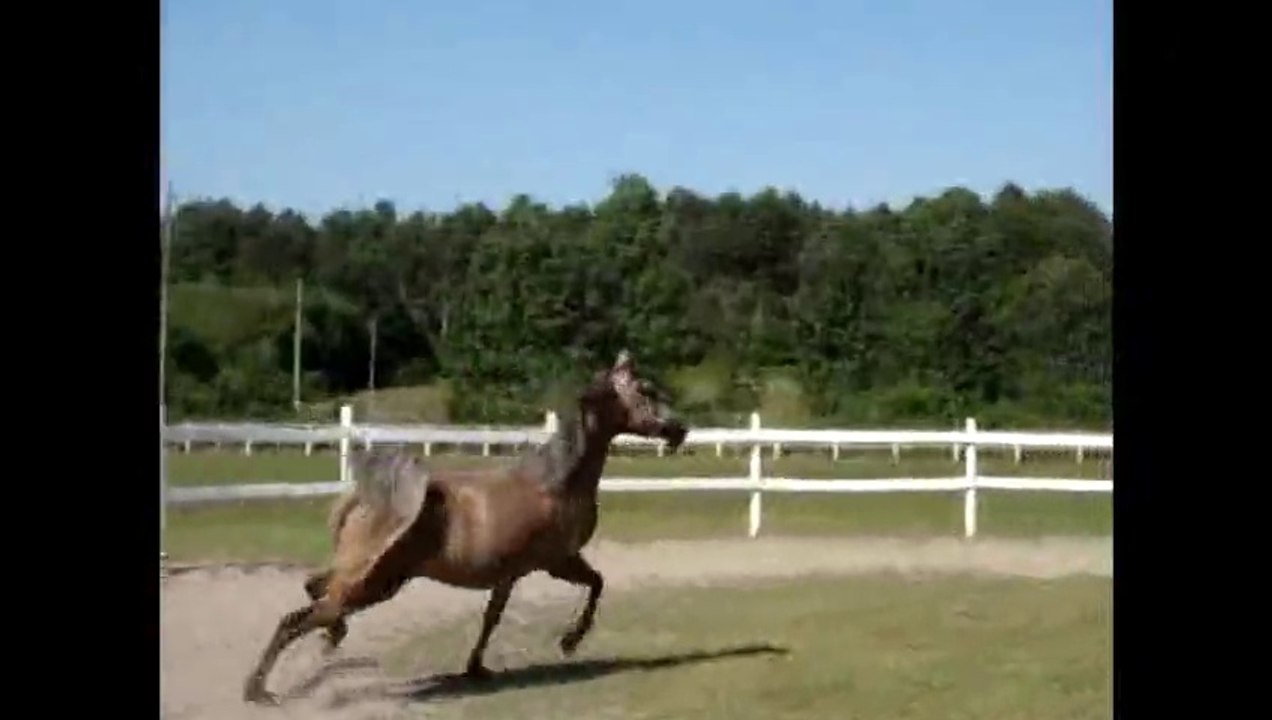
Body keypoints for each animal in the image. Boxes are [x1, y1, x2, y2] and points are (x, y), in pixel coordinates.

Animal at [242, 350, 689, 704]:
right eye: (646, 389)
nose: (680, 430)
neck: (555, 482)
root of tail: (364, 498)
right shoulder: (556, 561)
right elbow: (596, 584)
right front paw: (568, 642)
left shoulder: (513, 572)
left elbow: (495, 616)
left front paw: (476, 668)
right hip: (373, 584)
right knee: (297, 618)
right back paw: (259, 691)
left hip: (364, 579)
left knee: (315, 593)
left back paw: (325, 642)